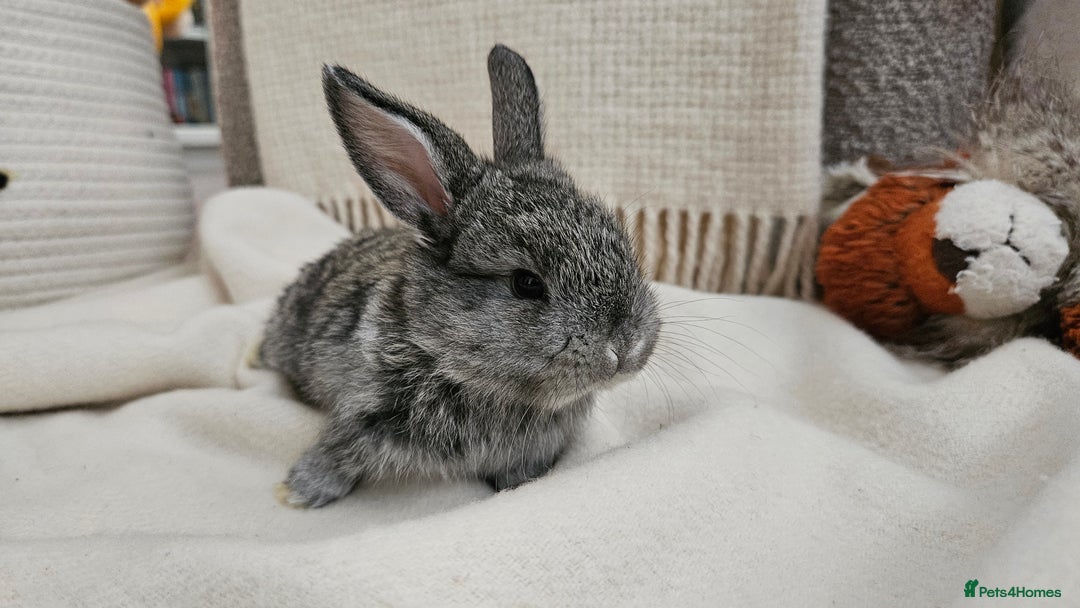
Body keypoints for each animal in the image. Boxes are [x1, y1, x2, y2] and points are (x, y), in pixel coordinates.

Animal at [258, 44, 661, 508]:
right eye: (526, 283)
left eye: (623, 242)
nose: (626, 346)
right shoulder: (363, 410)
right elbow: (341, 450)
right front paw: (298, 491)